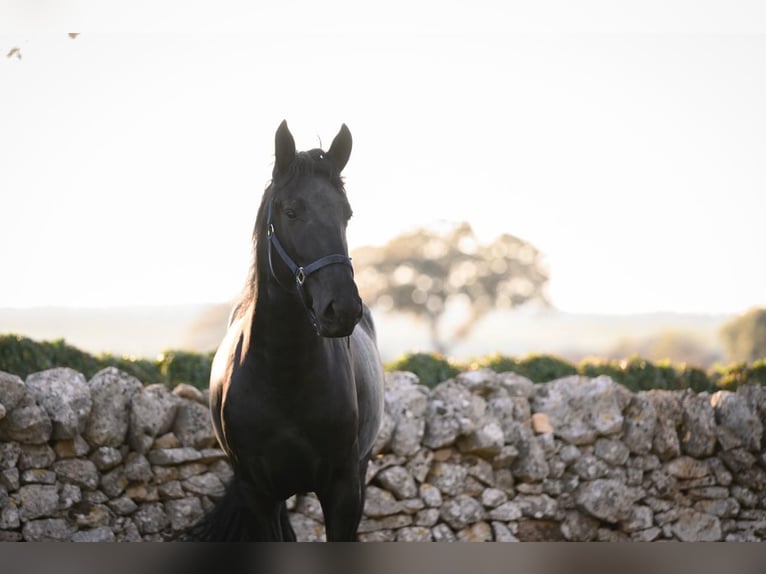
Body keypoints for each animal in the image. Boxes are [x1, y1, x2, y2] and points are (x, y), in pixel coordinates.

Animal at [196, 119, 384, 544]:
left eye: (347, 214)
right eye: (292, 211)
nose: (342, 309)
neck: (284, 375)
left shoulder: (343, 489)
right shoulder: (258, 493)